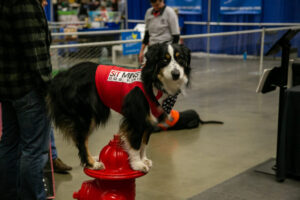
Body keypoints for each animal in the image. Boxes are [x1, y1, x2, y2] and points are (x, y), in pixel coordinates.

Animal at [47, 43, 192, 173]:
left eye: (180, 59)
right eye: (164, 60)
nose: (176, 74)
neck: (152, 83)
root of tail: (61, 77)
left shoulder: (149, 119)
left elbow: (144, 142)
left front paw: (143, 159)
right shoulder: (136, 118)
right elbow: (136, 142)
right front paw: (137, 164)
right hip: (85, 115)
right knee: (82, 141)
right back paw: (92, 164)